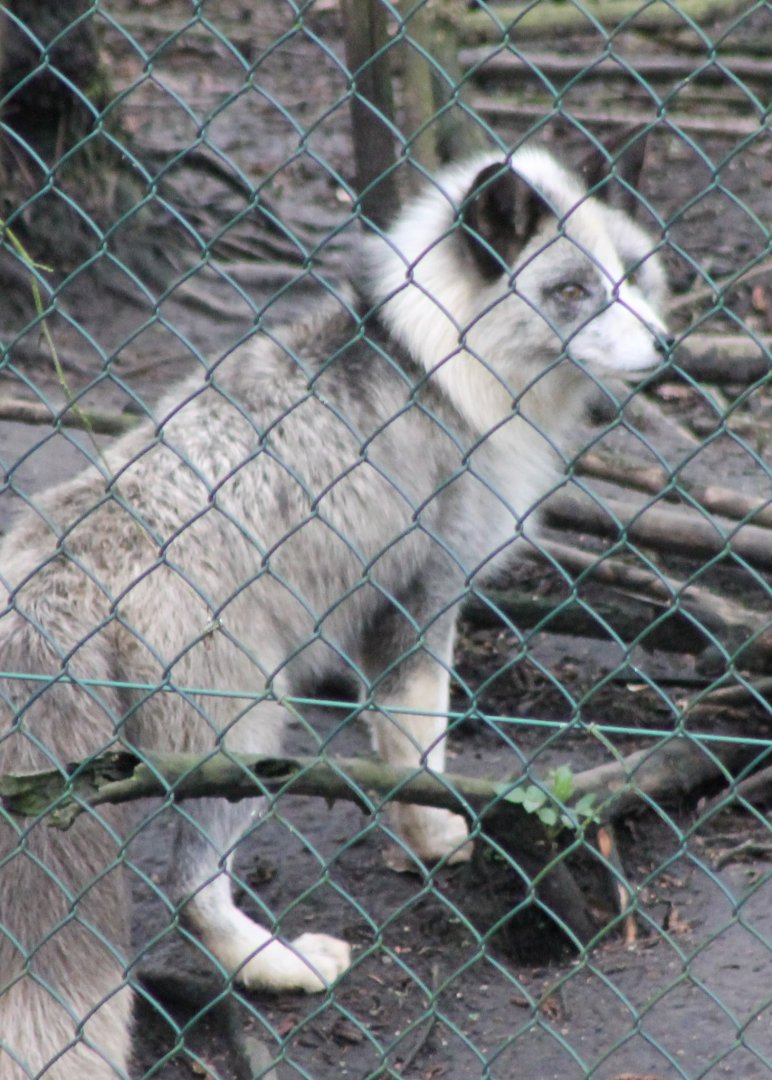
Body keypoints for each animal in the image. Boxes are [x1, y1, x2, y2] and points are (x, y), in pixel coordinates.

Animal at [0, 133, 670, 1078]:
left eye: (634, 277)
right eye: (572, 291)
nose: (665, 346)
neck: (440, 365)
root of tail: (54, 557)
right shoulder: (422, 602)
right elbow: (418, 748)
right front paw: (435, 839)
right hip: (244, 730)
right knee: (190, 889)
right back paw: (276, 965)